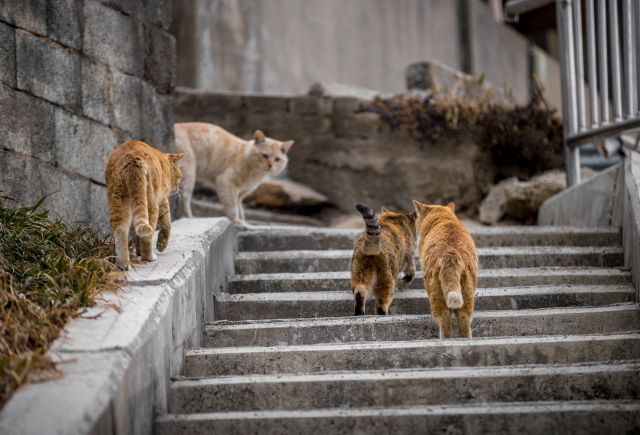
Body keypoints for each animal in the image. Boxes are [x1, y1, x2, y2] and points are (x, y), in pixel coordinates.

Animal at [106, 141, 186, 270]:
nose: (178, 189)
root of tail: (132, 160)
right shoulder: (163, 201)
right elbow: (167, 224)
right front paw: (161, 244)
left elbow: (135, 234)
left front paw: (138, 252)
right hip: (151, 204)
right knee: (148, 236)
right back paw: (149, 257)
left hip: (118, 203)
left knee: (120, 232)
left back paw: (123, 265)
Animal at [412, 201, 478, 340]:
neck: (443, 217)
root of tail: (451, 254)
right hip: (468, 293)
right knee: (464, 321)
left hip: (435, 293)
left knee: (445, 321)